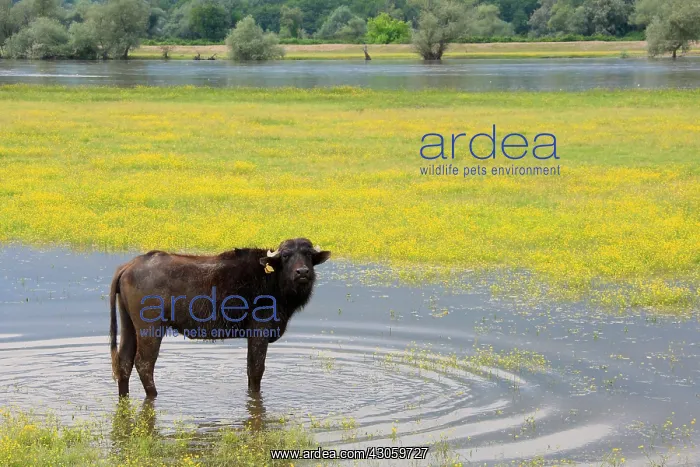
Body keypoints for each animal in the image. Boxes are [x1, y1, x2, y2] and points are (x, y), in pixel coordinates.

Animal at [109, 238, 330, 398]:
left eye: (308, 254)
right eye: (285, 255)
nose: (302, 272)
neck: (272, 279)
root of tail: (131, 265)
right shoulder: (259, 330)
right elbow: (256, 369)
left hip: (129, 325)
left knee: (124, 362)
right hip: (150, 328)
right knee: (144, 363)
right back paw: (154, 395)